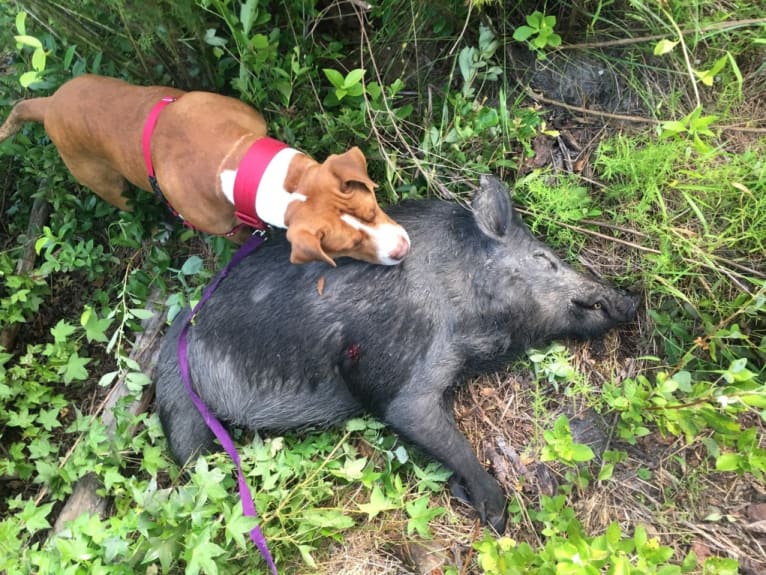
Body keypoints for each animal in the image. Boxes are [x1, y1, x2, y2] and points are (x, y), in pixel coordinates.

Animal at [1, 72, 414, 268]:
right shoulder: (227, 229)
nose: (401, 249)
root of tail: (48, 104)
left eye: (373, 208)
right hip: (104, 182)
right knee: (125, 202)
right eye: (347, 247)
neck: (234, 163)